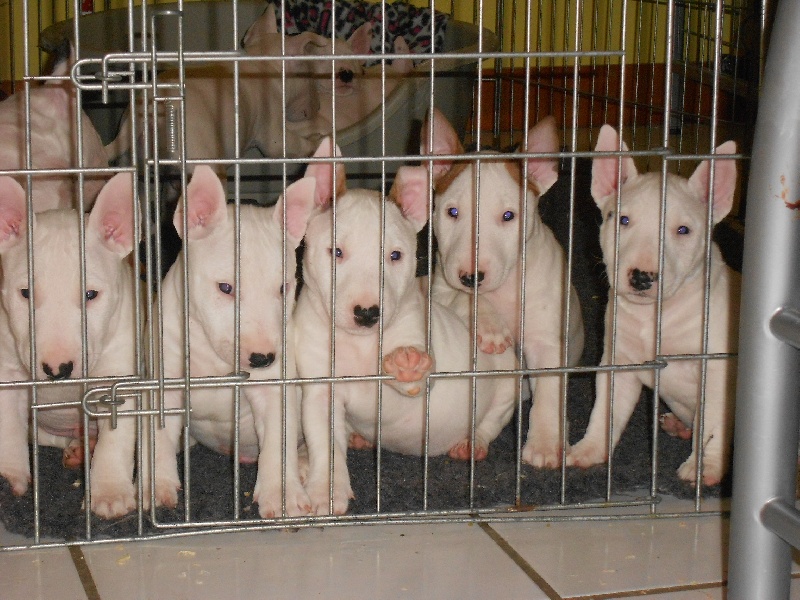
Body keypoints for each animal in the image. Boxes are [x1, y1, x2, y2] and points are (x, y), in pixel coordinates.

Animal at [0, 171, 138, 516]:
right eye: (25, 293)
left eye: (91, 294)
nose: (57, 370)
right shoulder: (8, 372)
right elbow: (8, 426)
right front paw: (8, 478)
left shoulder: (120, 372)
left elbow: (117, 436)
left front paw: (110, 493)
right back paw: (78, 448)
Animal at [296, 137, 520, 516]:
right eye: (336, 252)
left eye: (395, 256)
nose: (367, 313)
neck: (359, 343)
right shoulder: (320, 390)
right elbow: (325, 443)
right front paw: (326, 490)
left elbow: (412, 376)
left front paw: (407, 362)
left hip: (506, 381)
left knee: (491, 420)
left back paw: (471, 443)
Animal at [422, 110, 584, 472]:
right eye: (452, 212)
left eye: (509, 216)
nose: (472, 276)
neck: (506, 290)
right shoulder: (442, 287)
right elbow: (464, 298)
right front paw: (492, 328)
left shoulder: (545, 342)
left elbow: (549, 391)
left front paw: (544, 445)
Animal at [564, 126, 740, 488]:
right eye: (623, 220)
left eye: (683, 230)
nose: (642, 277)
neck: (655, 314)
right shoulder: (618, 361)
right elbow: (605, 409)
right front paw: (588, 450)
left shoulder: (716, 368)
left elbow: (714, 424)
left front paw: (703, 468)